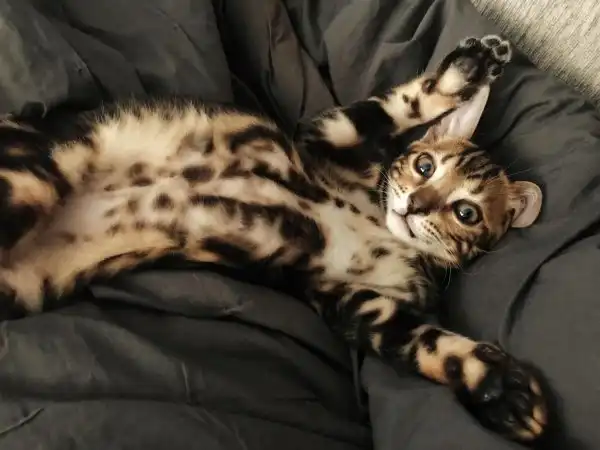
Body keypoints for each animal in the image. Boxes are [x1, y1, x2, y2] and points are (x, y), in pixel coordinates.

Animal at [0, 35, 547, 443]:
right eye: (425, 165)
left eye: (466, 212)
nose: (413, 204)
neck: (377, 222)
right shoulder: (326, 137)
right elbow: (395, 105)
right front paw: (468, 70)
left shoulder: (358, 305)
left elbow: (430, 346)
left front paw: (502, 390)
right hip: (35, 177)